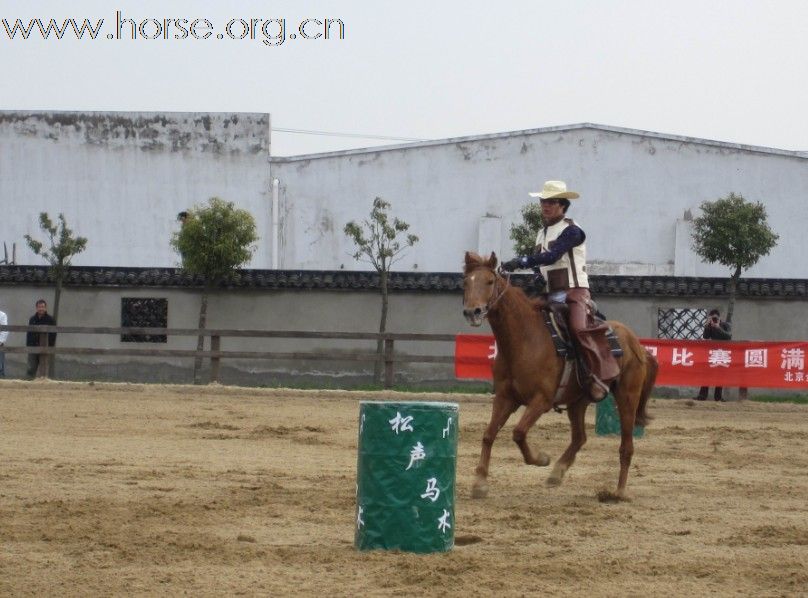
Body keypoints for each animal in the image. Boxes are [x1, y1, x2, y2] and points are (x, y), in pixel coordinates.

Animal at [460, 253, 656, 502]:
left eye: (489, 282)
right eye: (466, 282)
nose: (472, 312)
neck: (523, 339)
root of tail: (636, 344)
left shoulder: (541, 400)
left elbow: (518, 432)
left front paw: (540, 458)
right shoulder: (505, 398)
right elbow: (488, 434)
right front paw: (480, 483)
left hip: (627, 398)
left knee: (626, 447)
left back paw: (618, 492)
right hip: (577, 402)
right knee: (580, 437)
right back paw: (557, 472)